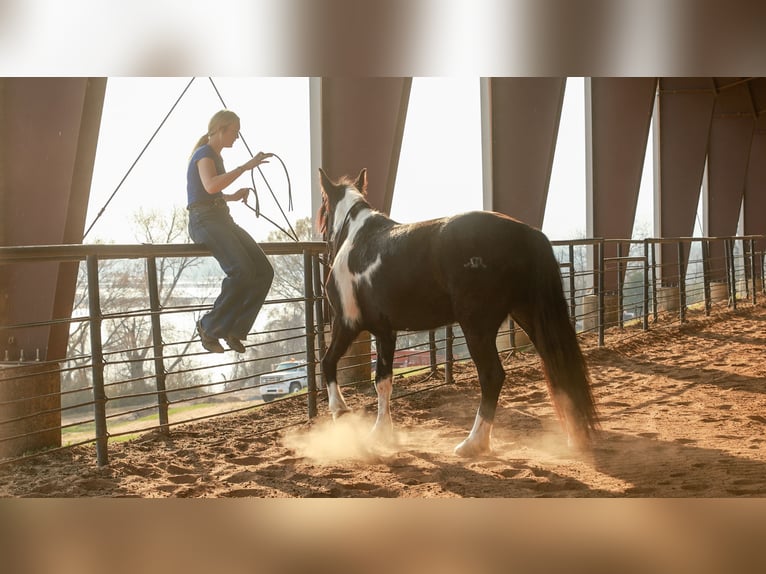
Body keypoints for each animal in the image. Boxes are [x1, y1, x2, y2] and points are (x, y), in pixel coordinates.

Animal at [317, 168, 598, 457]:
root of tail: (527, 234)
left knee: (492, 376)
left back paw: (474, 443)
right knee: (557, 364)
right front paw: (381, 432)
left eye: (323, 210)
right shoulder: (386, 332)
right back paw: (574, 437)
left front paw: (340, 411)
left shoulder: (347, 323)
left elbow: (328, 362)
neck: (359, 242)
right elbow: (383, 381)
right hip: (530, 317)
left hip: (477, 328)